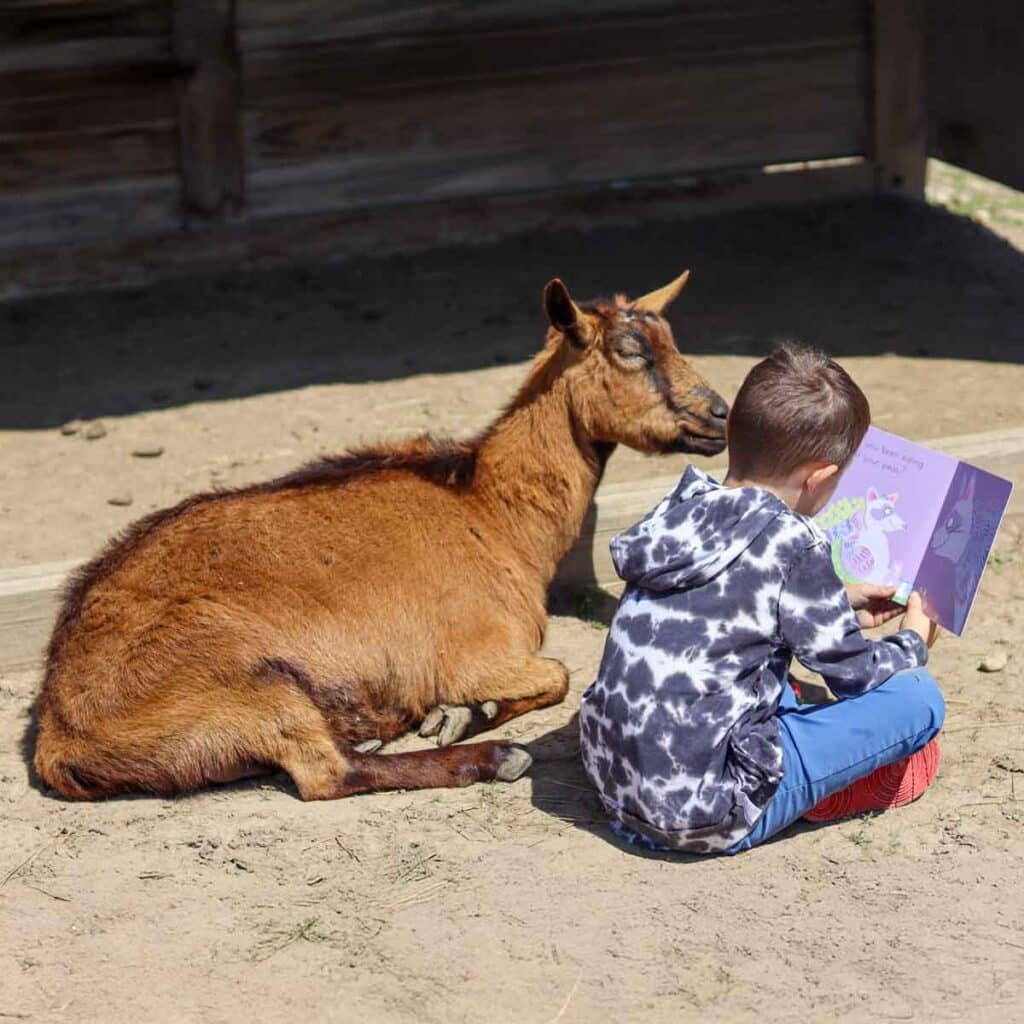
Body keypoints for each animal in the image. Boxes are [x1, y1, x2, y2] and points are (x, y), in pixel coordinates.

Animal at [33, 272, 728, 801]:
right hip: (242, 678)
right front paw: (462, 716)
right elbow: (557, 675)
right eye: (630, 351)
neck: (487, 510)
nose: (720, 414)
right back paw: (493, 756)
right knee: (325, 774)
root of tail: (57, 737)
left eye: (670, 338)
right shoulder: (481, 650)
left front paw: (457, 715)